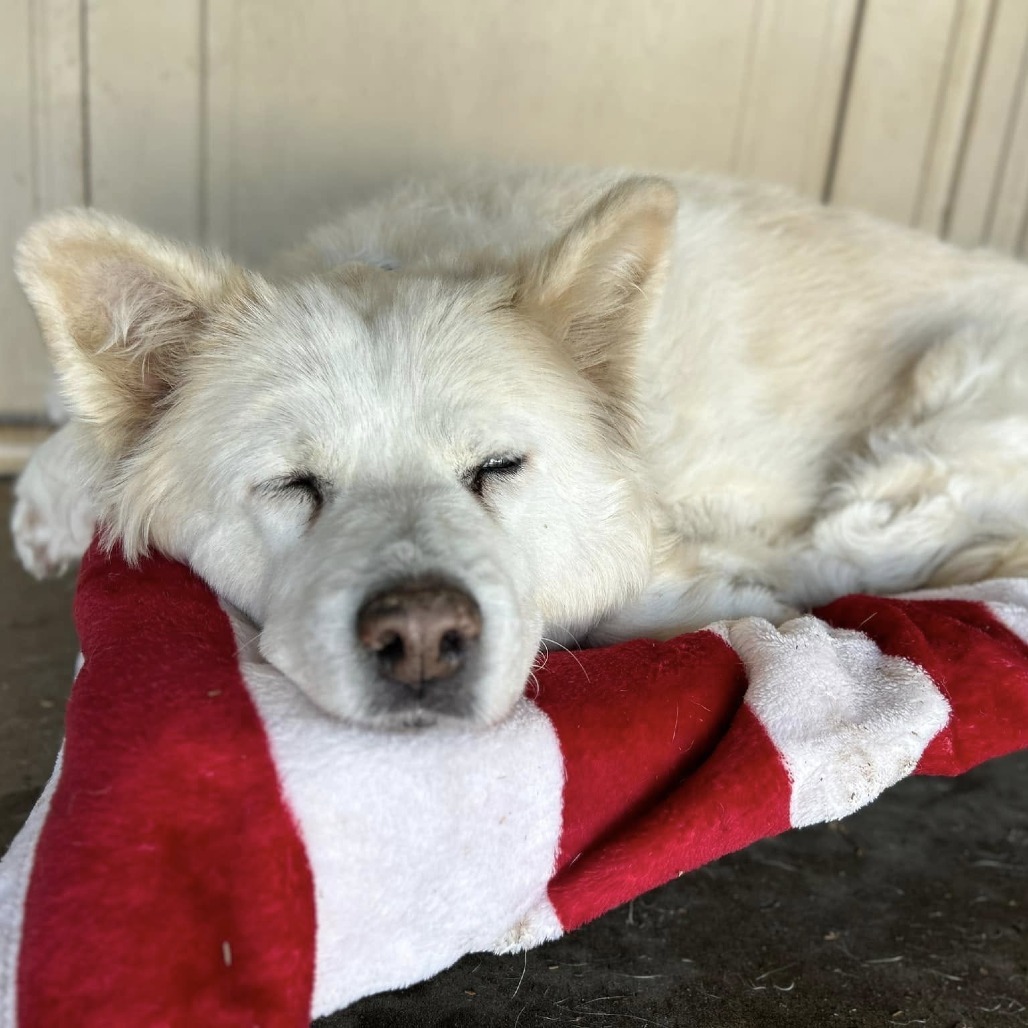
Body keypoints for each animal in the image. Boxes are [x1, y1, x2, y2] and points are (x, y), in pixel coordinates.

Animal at [12, 168, 1028, 727]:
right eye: (294, 485)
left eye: (496, 468)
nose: (423, 638)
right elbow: (81, 439)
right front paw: (53, 504)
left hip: (914, 460)